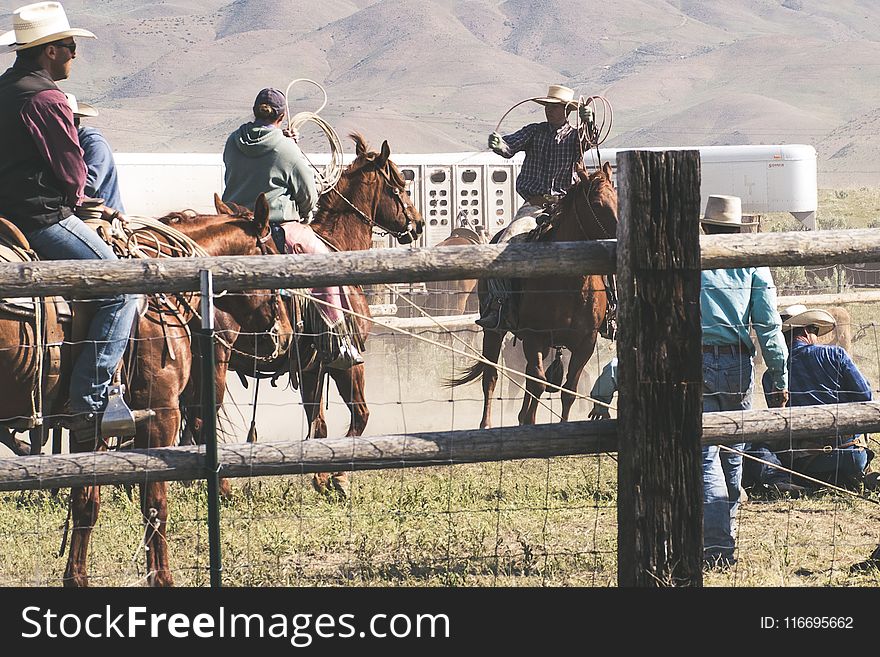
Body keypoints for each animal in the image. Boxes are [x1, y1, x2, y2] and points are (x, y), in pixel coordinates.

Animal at [27, 193, 292, 584]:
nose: (285, 334)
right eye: (272, 255)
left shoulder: (89, 425)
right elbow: (154, 504)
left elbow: (86, 502)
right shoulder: (161, 414)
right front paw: (162, 577)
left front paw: (76, 578)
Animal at [446, 164, 620, 426]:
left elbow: (569, 390)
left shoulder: (585, 343)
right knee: (491, 377)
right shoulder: (534, 337)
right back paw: (487, 424)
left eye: (618, 198)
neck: (569, 287)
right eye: (597, 203)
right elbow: (538, 383)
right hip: (494, 331)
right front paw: (529, 420)